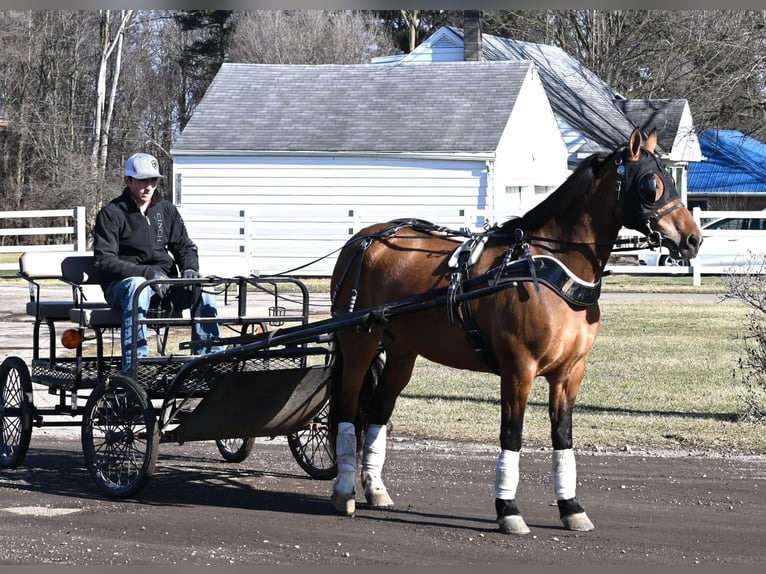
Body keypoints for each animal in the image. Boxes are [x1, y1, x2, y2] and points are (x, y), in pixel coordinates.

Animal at [328, 128, 704, 536]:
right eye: (650, 185)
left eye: (672, 179)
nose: (693, 239)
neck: (550, 266)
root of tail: (363, 239)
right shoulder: (518, 369)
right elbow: (512, 434)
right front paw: (507, 508)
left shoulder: (570, 372)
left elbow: (563, 436)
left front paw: (571, 506)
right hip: (359, 344)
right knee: (348, 407)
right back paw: (345, 490)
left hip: (402, 351)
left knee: (379, 411)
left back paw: (375, 488)